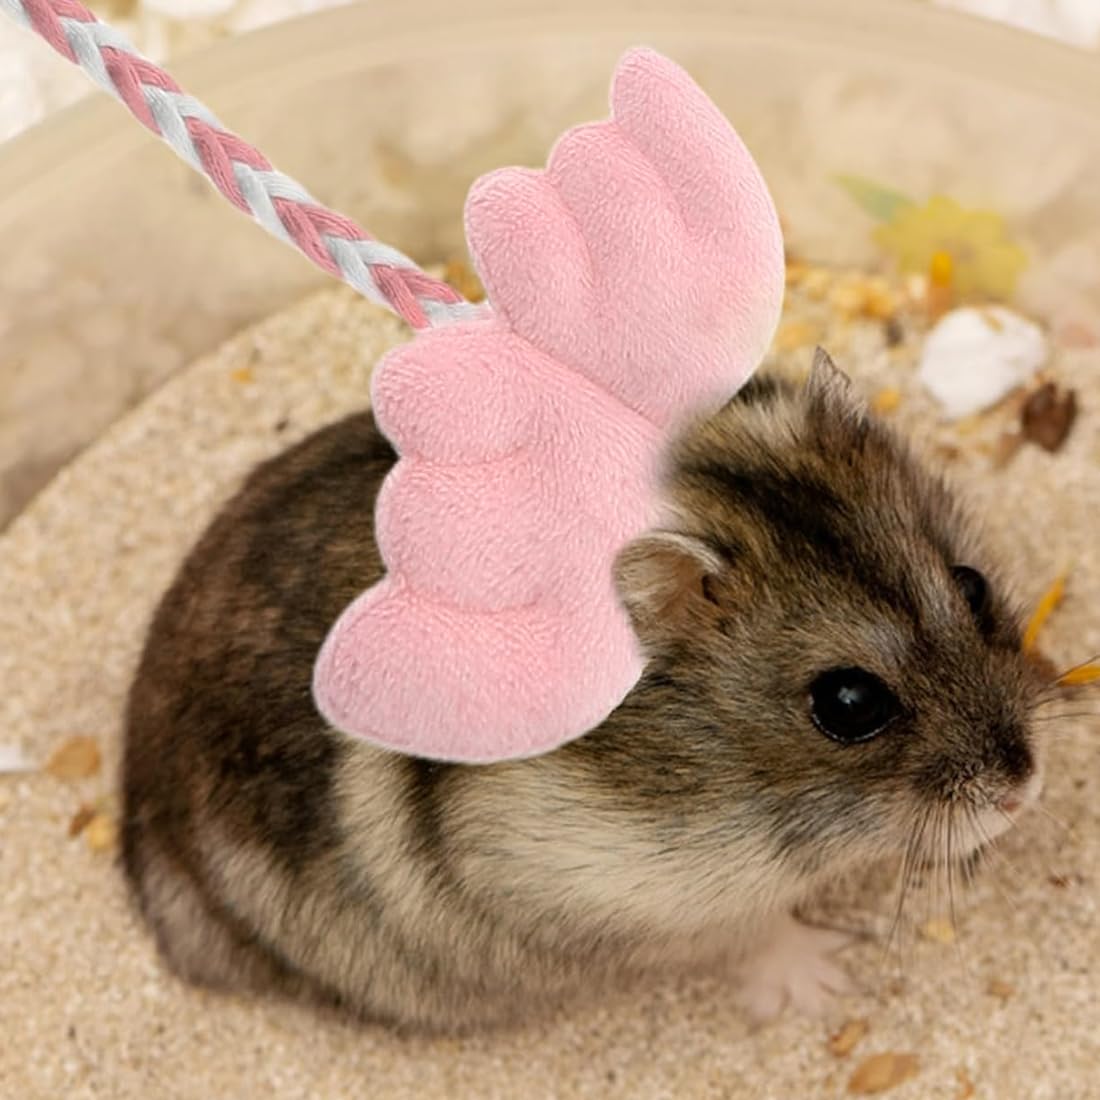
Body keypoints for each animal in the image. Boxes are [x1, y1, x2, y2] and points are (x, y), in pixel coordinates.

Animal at [121, 350, 1048, 1034]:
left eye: (971, 586)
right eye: (848, 705)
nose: (1023, 790)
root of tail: (136, 806)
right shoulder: (638, 904)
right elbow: (759, 935)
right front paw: (825, 982)